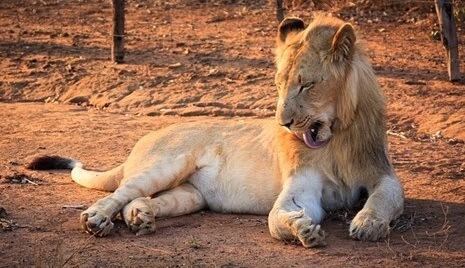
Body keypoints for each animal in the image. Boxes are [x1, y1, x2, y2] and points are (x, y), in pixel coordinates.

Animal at [27, 14, 402, 247]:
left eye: (307, 85)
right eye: (279, 84)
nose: (283, 122)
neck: (335, 139)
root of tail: (143, 139)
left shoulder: (381, 173)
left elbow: (385, 197)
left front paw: (367, 224)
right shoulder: (302, 185)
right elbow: (276, 218)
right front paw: (301, 229)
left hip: (190, 195)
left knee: (140, 200)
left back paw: (140, 217)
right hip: (166, 165)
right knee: (119, 194)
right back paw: (96, 220)